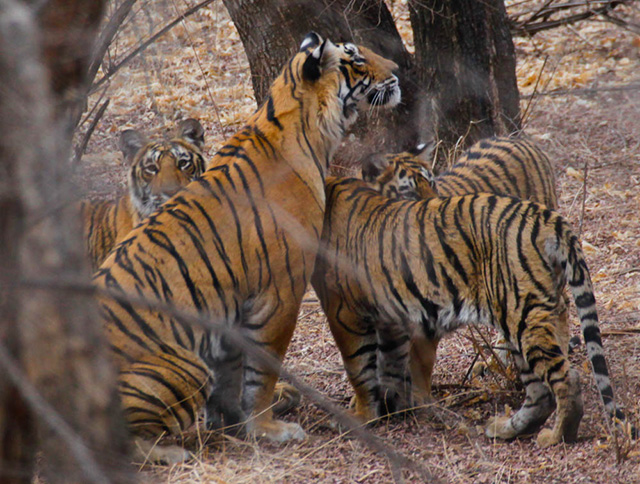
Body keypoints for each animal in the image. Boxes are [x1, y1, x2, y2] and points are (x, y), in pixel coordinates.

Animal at [95, 32, 400, 464]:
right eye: (356, 60)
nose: (397, 71)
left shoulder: (231, 310)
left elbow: (233, 374)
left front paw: (233, 424)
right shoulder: (280, 293)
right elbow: (263, 370)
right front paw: (268, 428)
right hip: (185, 365)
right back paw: (170, 452)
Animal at [310, 177, 632, 446]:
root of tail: (546, 217)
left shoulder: (344, 313)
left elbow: (359, 368)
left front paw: (361, 416)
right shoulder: (390, 318)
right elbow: (389, 363)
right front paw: (393, 407)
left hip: (520, 313)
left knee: (567, 378)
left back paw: (556, 437)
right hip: (530, 315)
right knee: (540, 392)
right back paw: (507, 429)